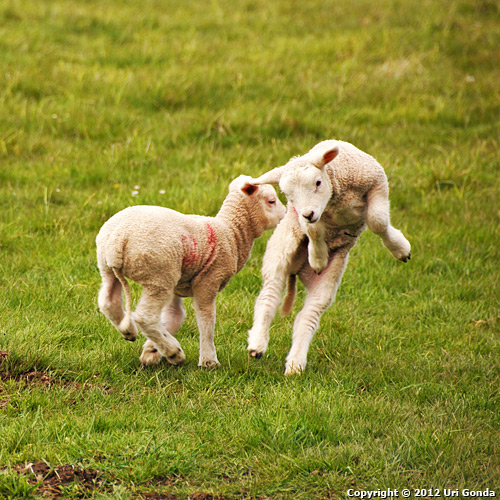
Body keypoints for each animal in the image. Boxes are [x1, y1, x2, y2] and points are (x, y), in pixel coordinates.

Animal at [96, 175, 286, 368]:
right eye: (271, 201)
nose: (285, 214)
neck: (231, 232)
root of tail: (118, 240)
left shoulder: (178, 284)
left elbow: (174, 317)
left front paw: (151, 351)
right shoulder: (209, 280)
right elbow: (206, 320)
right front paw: (209, 361)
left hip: (111, 269)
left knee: (108, 302)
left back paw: (130, 332)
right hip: (159, 274)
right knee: (145, 317)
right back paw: (174, 352)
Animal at [248, 139, 412, 374]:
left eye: (318, 183)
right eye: (288, 196)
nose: (308, 213)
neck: (336, 199)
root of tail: (297, 269)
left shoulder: (377, 182)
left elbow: (377, 220)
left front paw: (400, 248)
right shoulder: (306, 218)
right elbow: (314, 231)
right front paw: (318, 258)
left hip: (327, 280)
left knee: (307, 316)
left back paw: (295, 365)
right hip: (280, 249)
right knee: (268, 297)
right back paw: (258, 345)